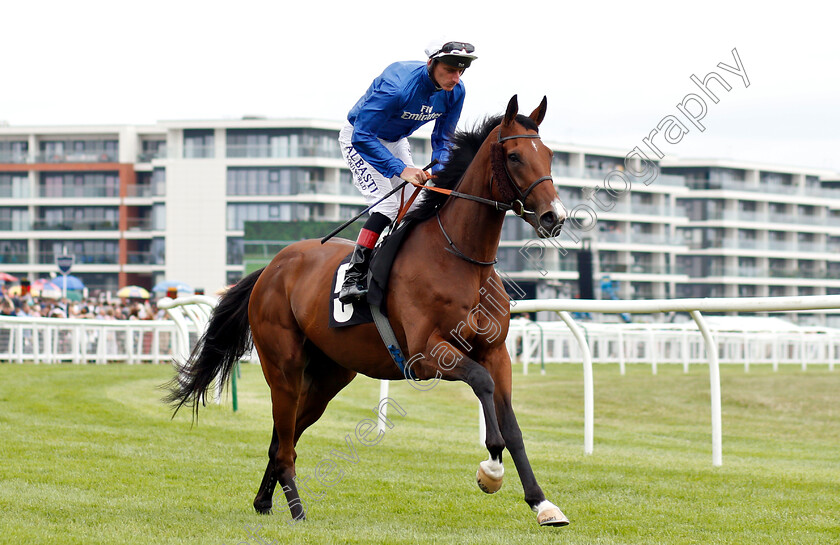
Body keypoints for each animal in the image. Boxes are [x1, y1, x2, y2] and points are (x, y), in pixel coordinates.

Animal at [166, 95, 572, 524]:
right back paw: (297, 510)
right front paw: (491, 469)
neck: (460, 259)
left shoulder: (496, 353)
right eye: (514, 156)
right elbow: (481, 383)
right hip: (284, 366)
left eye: (548, 155)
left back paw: (265, 500)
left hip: (329, 375)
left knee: (283, 436)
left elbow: (512, 426)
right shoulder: (427, 355)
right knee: (286, 441)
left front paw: (542, 503)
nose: (554, 216)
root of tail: (272, 267)